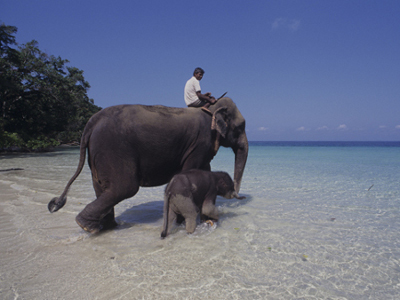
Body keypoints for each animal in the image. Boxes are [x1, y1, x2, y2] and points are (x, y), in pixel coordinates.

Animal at [47, 97, 247, 233]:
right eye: (241, 127)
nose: (239, 197)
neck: (210, 109)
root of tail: (91, 122)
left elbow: (205, 171)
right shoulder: (198, 144)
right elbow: (191, 170)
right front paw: (184, 222)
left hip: (97, 155)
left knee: (102, 188)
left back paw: (107, 228)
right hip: (113, 149)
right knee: (124, 187)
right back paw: (88, 226)